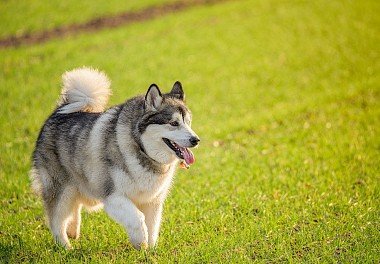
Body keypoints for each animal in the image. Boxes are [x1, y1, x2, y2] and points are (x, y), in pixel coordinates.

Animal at [31, 67, 200, 249]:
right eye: (174, 123)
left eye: (188, 122)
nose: (196, 140)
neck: (142, 150)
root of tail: (59, 111)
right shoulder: (113, 196)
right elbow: (138, 218)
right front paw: (140, 241)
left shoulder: (153, 202)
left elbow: (152, 228)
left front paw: (151, 250)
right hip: (61, 188)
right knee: (56, 220)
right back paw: (65, 247)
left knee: (73, 208)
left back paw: (73, 231)